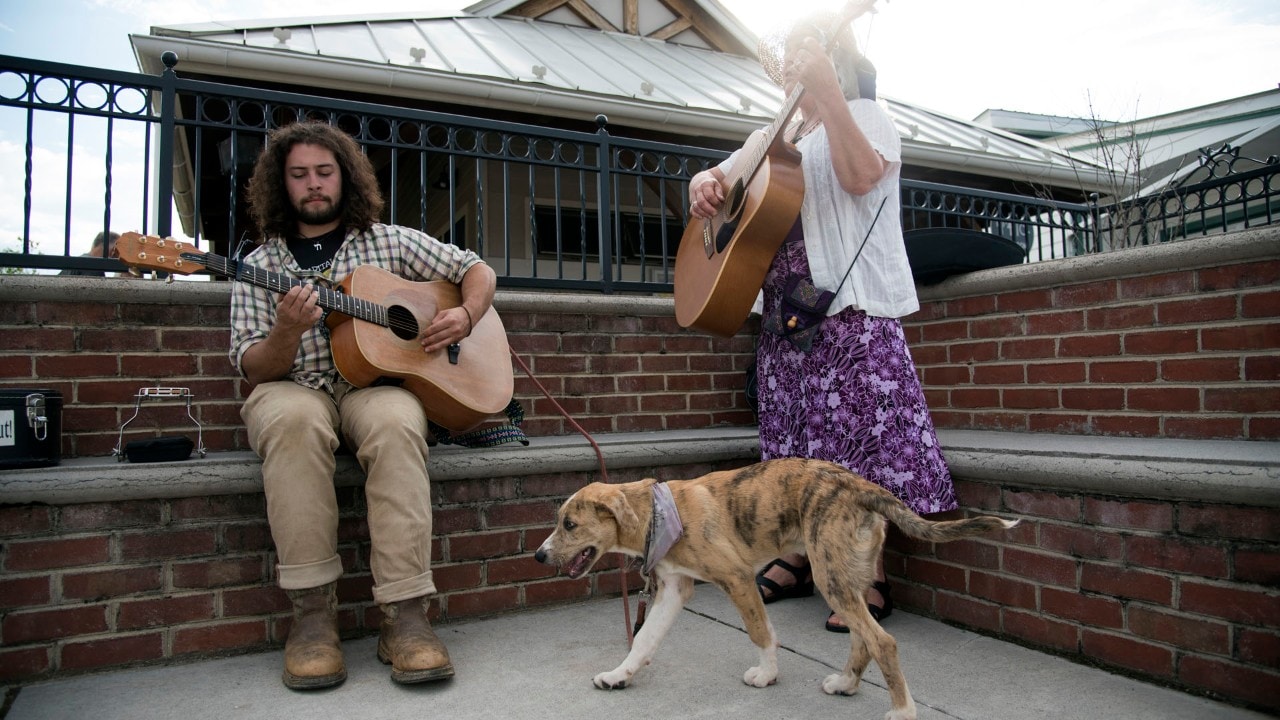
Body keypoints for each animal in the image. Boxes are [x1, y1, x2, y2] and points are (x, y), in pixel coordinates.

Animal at [535, 456, 1013, 717]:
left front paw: (766, 674)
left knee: (883, 641)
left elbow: (760, 632)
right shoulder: (674, 588)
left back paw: (901, 710)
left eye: (569, 525)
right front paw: (619, 675)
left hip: (829, 573)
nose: (539, 556)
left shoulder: (737, 578)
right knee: (863, 636)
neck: (657, 515)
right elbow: (644, 640)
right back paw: (846, 683)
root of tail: (861, 486)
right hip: (847, 575)